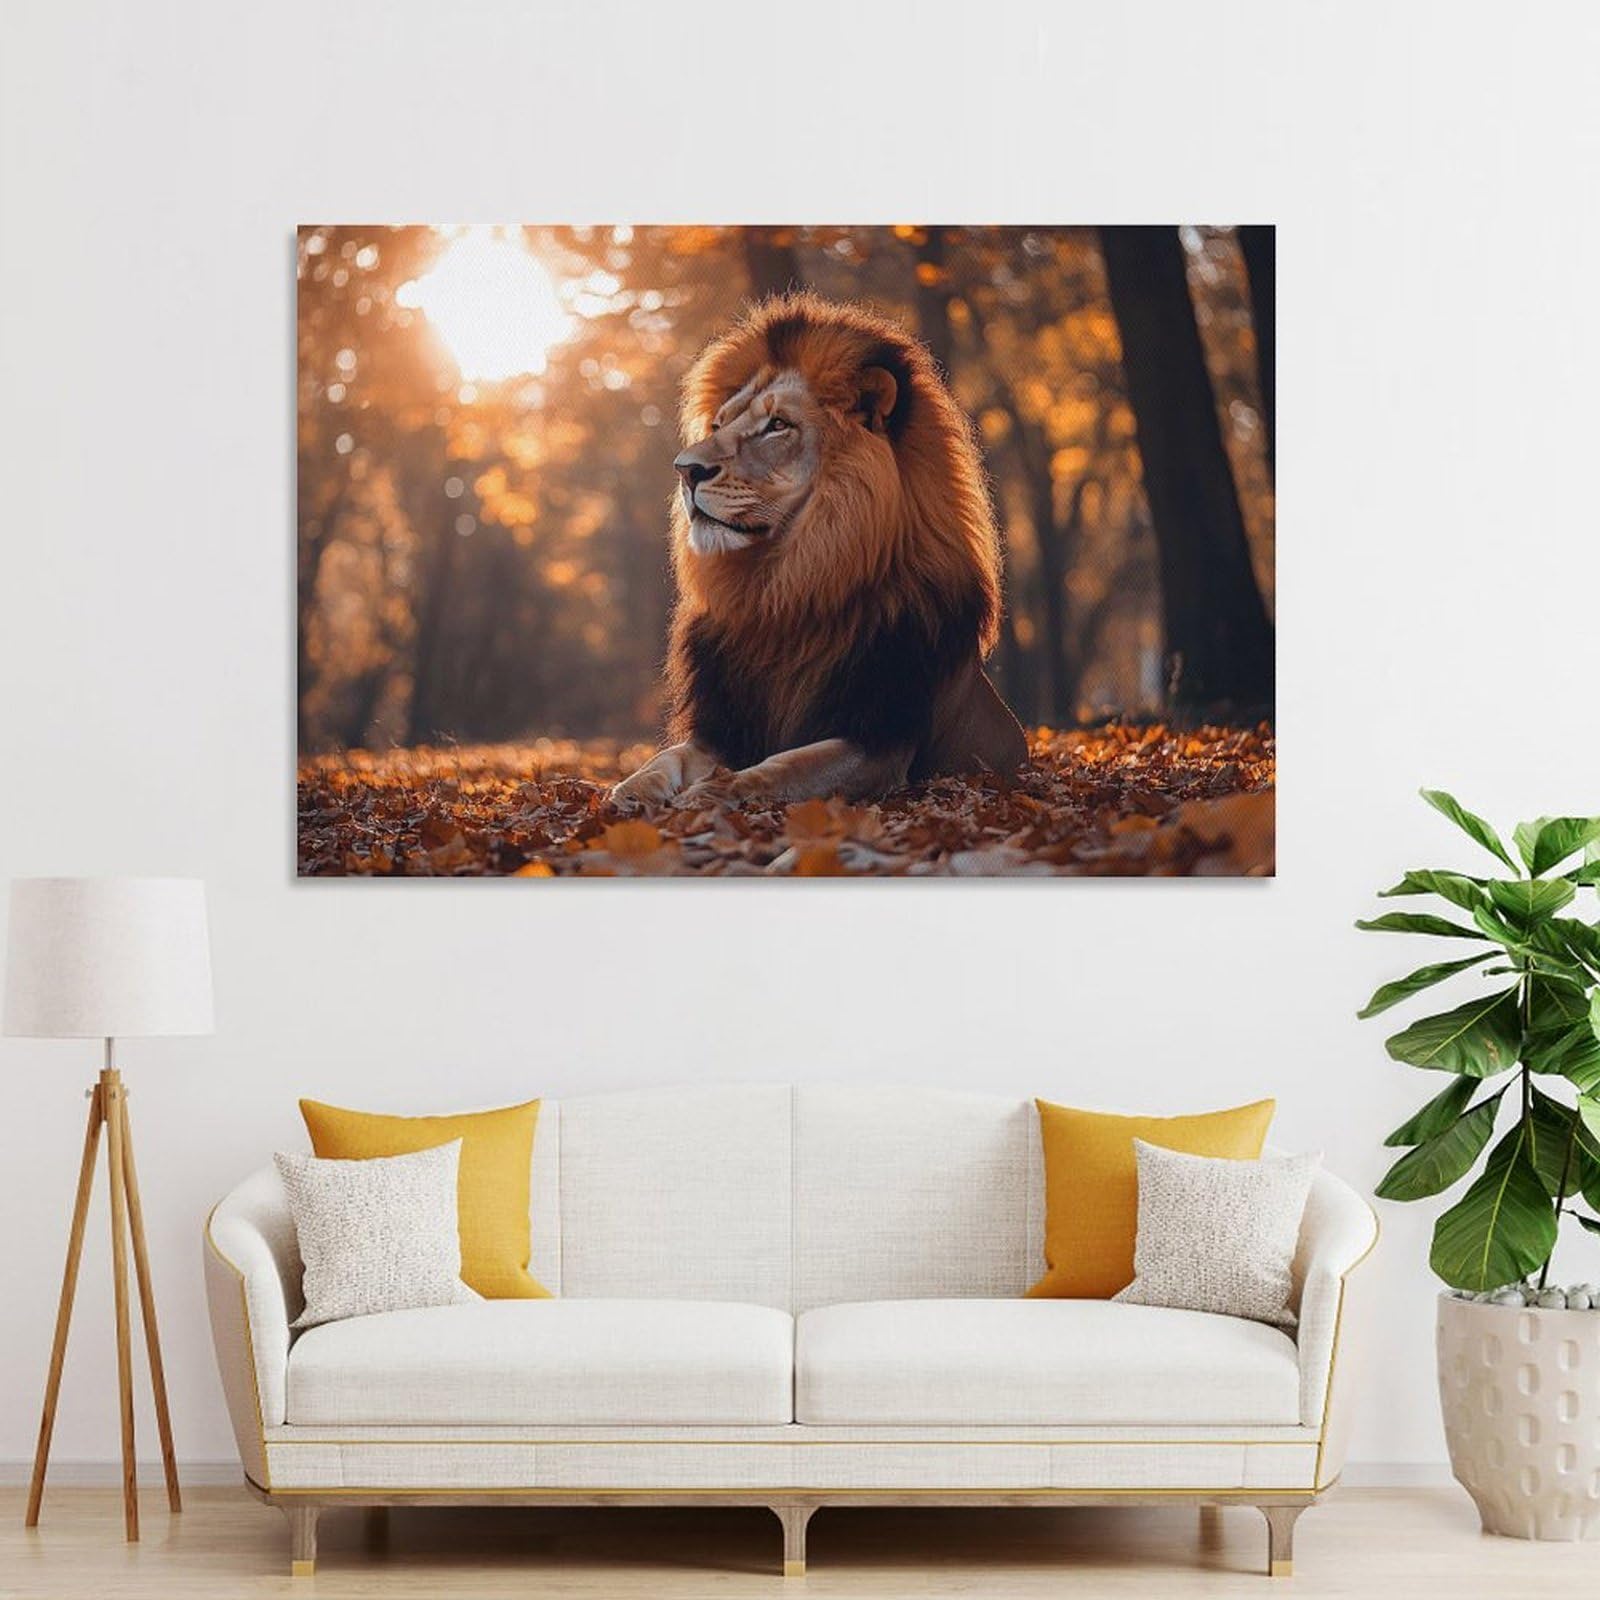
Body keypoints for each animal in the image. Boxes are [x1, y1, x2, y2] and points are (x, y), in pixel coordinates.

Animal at [610, 292, 1028, 811]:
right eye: (719, 423)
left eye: (778, 425)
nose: (684, 469)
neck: (786, 588)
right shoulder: (727, 729)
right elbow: (667, 758)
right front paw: (629, 792)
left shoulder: (878, 743)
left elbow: (784, 767)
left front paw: (714, 793)